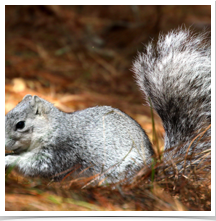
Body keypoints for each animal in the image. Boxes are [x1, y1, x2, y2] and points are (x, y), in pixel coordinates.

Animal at [5, 27, 211, 183]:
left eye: (20, 124)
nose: (4, 143)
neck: (53, 129)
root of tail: (152, 174)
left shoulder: (60, 152)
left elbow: (37, 165)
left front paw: (8, 159)